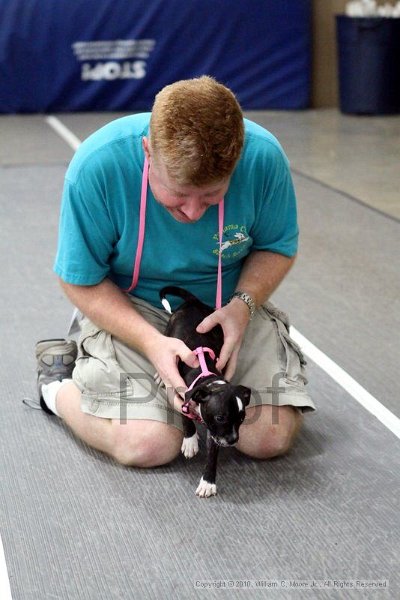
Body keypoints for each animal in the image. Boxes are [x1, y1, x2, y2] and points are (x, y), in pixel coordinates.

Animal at [159, 286, 250, 496]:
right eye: (220, 417)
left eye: (241, 418)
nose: (233, 440)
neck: (208, 378)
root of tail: (194, 301)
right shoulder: (182, 395)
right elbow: (185, 417)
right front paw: (190, 440)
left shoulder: (216, 434)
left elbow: (212, 456)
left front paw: (208, 482)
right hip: (170, 329)